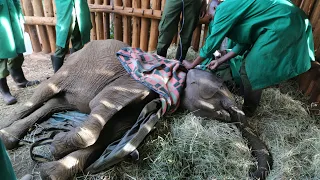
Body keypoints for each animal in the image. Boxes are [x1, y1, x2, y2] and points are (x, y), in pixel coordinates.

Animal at [0, 39, 272, 179]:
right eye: (220, 91)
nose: (251, 172)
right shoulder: (135, 82)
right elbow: (103, 104)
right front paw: (54, 148)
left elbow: (111, 135)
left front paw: (48, 172)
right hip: (71, 67)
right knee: (44, 92)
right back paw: (5, 133)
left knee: (55, 103)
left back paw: (12, 137)